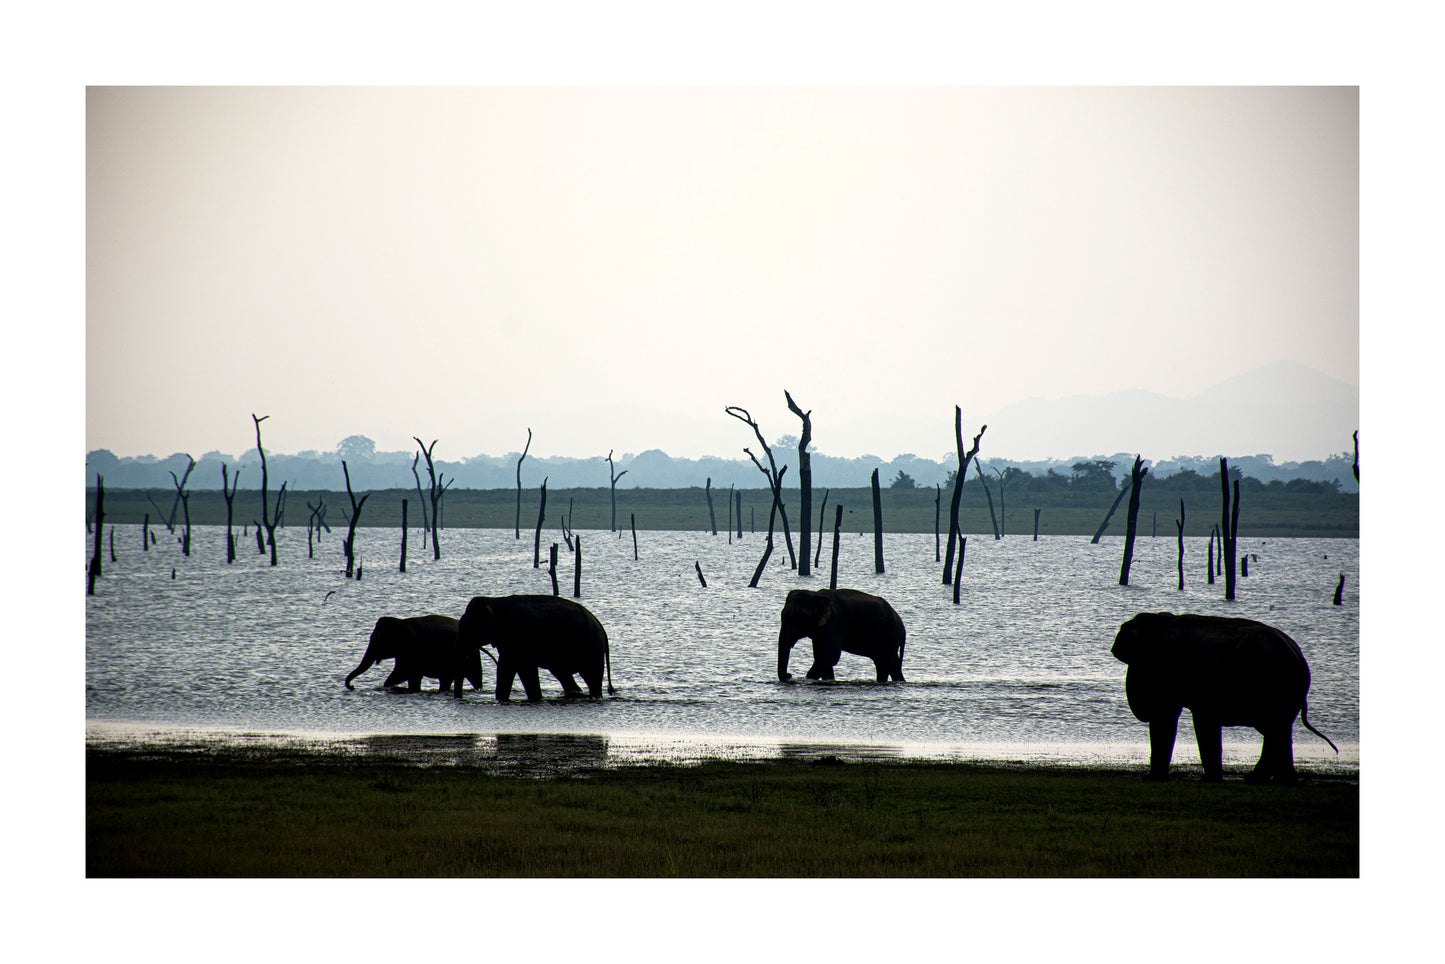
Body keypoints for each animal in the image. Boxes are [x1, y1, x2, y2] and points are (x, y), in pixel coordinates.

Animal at [345, 614, 484, 693]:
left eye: (379, 639)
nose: (352, 686)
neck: (401, 622)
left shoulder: (414, 650)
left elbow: (405, 674)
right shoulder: (404, 653)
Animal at [454, 595, 614, 702]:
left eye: (468, 626)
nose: (459, 699)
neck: (495, 600)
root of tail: (602, 628)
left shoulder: (517, 636)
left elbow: (510, 668)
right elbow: (522, 670)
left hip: (592, 650)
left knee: (592, 678)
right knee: (563, 675)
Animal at [777, 588, 906, 683]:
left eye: (795, 616)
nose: (789, 675)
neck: (814, 594)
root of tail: (902, 624)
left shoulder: (834, 623)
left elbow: (829, 657)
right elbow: (822, 657)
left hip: (889, 635)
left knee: (882, 664)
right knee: (893, 664)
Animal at [1111, 612, 1338, 783]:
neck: (1160, 620)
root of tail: (1298, 657)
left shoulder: (1169, 667)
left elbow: (1170, 716)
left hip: (1273, 687)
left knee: (1274, 730)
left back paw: (1260, 779)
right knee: (1278, 731)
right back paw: (1275, 780)